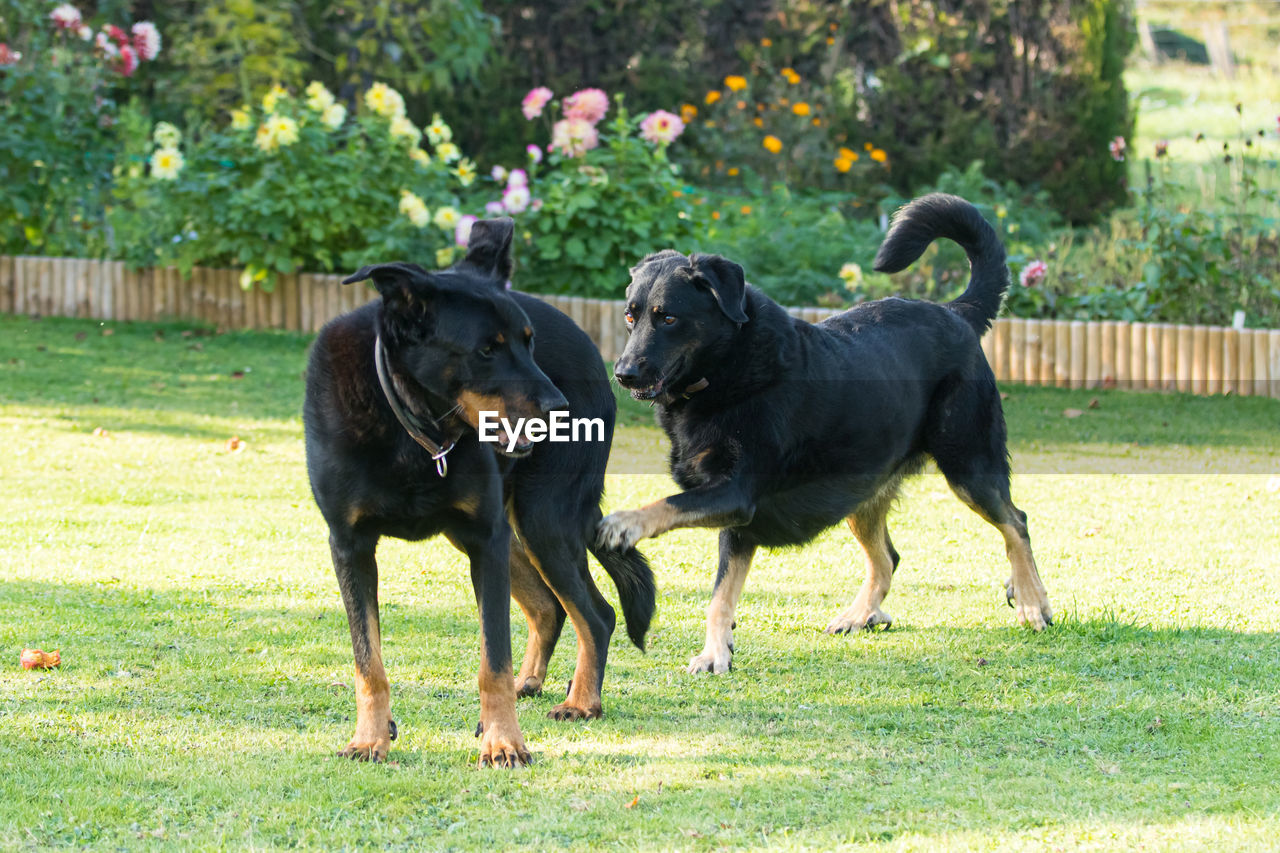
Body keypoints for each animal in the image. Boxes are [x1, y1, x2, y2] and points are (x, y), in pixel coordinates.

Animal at [304, 219, 655, 763]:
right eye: (487, 350)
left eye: (529, 343)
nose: (562, 409)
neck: (414, 431)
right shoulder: (351, 545)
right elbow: (369, 662)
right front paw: (370, 738)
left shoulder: (483, 538)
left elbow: (493, 662)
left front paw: (503, 742)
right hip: (514, 530)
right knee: (550, 607)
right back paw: (532, 683)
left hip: (541, 519)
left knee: (596, 614)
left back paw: (581, 702)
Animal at [599, 195, 1049, 676]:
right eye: (630, 316)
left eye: (668, 318)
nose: (623, 374)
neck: (727, 368)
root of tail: (955, 312)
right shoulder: (737, 520)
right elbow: (722, 595)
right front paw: (717, 652)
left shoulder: (735, 494)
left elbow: (665, 506)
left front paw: (625, 523)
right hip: (861, 489)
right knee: (888, 558)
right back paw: (860, 614)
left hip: (968, 465)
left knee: (1015, 521)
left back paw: (1032, 600)